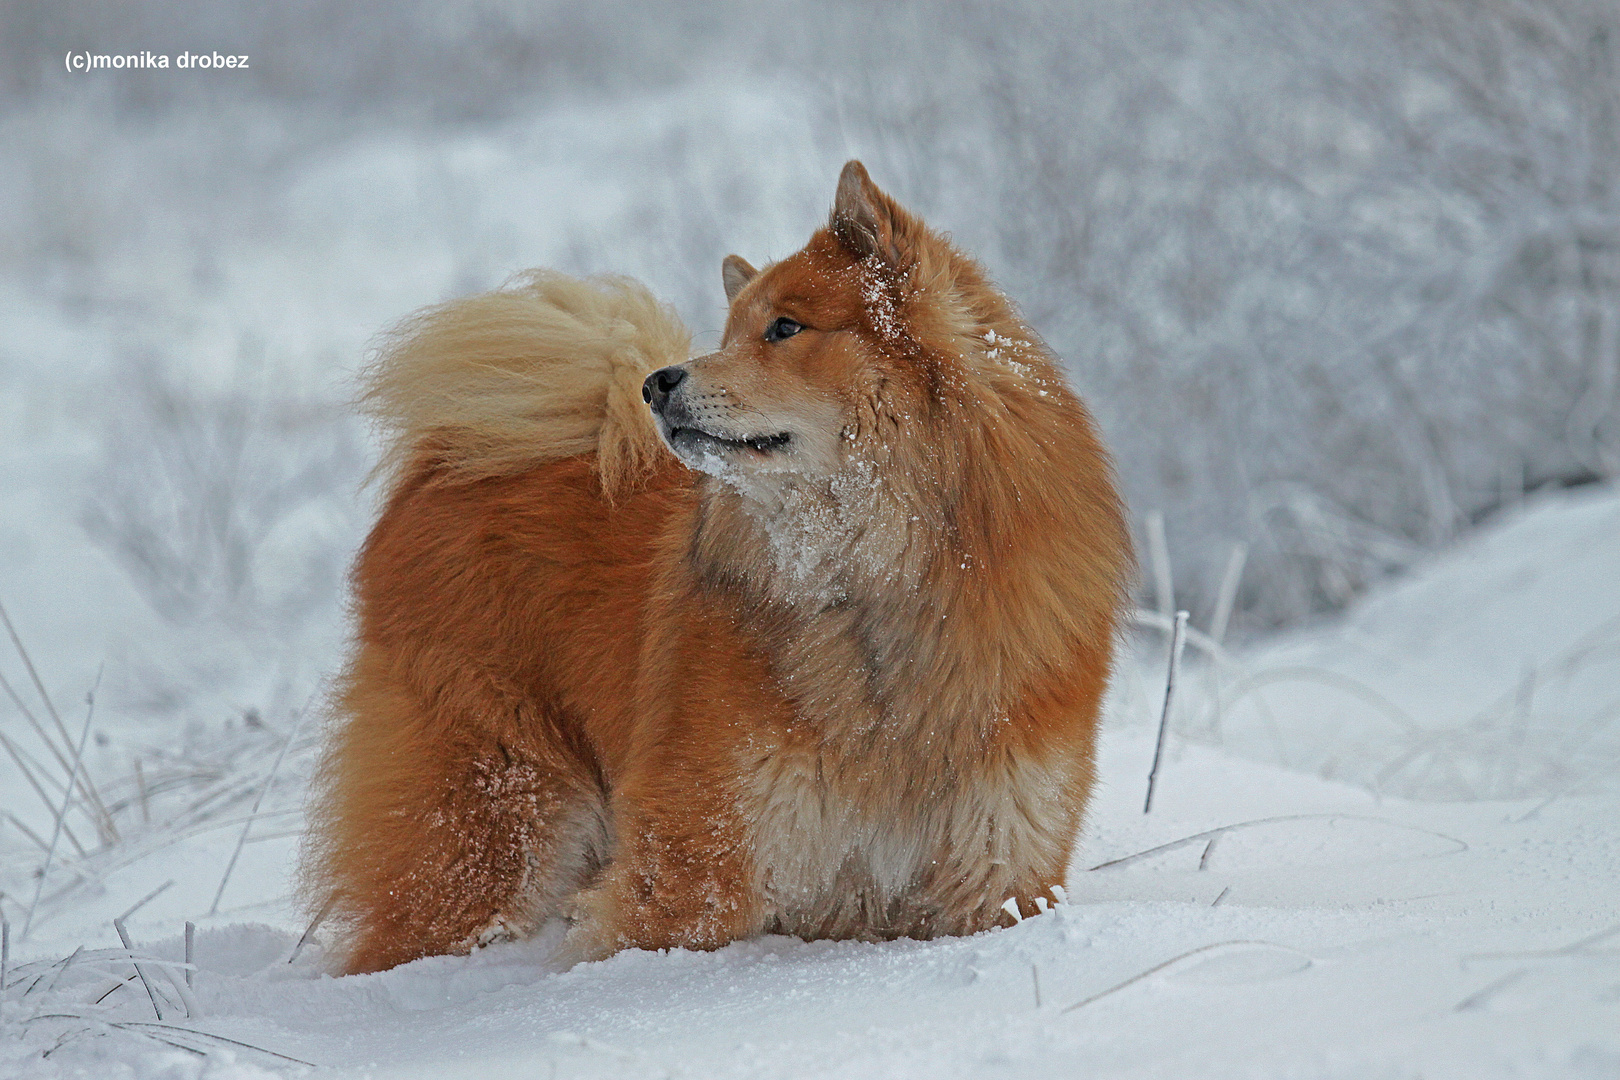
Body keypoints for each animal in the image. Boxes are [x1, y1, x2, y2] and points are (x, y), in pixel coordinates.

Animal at [306, 162, 1140, 977]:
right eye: (729, 333)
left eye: (785, 327)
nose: (656, 383)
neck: (870, 590)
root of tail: (446, 464)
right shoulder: (693, 872)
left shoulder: (995, 875)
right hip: (493, 822)